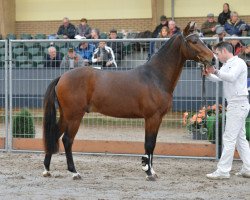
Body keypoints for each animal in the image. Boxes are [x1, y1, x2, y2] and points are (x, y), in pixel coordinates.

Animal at [42, 22, 213, 181]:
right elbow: (149, 144)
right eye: (194, 41)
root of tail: (62, 77)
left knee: (55, 135)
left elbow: (152, 144)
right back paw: (74, 172)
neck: (155, 76)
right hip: (74, 116)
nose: (212, 58)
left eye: (201, 39)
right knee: (67, 140)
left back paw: (47, 169)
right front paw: (148, 172)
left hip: (66, 115)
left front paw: (151, 171)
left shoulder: (157, 119)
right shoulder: (152, 117)